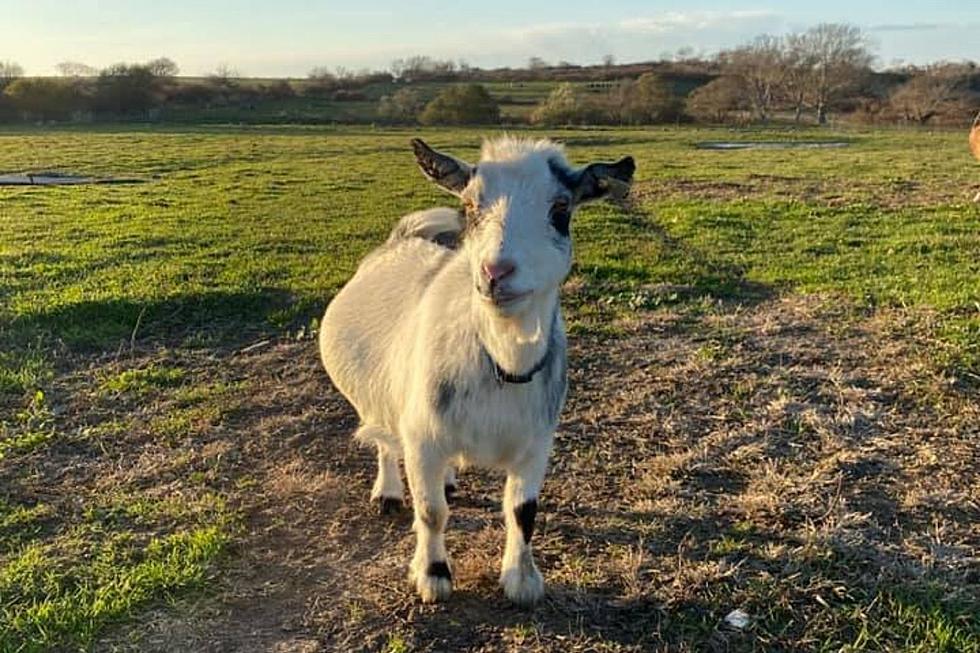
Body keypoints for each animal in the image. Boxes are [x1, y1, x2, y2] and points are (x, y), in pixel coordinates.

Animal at [318, 135, 632, 604]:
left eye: (561, 209)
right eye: (469, 207)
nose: (495, 271)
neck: (501, 362)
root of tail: (403, 238)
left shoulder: (536, 442)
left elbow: (523, 511)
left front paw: (522, 580)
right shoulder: (422, 435)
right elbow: (431, 511)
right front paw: (433, 577)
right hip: (381, 397)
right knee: (384, 440)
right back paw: (389, 493)